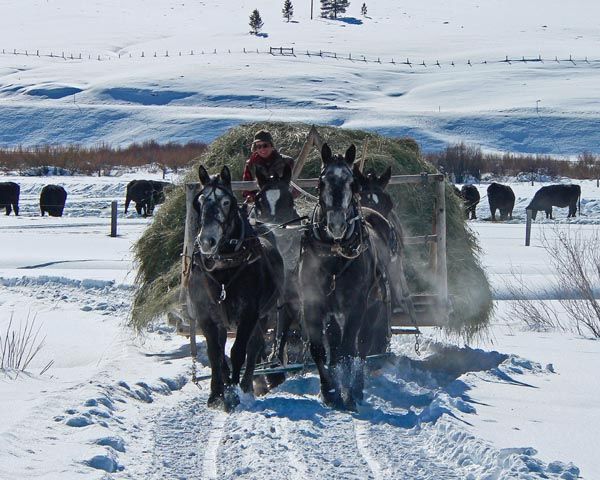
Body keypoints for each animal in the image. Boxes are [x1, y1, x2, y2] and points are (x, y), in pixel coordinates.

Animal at [185, 166, 284, 412]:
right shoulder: (206, 315)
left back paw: (248, 385)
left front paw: (233, 391)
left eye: (226, 202)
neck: (224, 268)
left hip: (264, 315)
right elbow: (215, 353)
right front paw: (216, 394)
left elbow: (239, 351)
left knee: (255, 346)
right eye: (199, 201)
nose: (207, 241)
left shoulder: (249, 313)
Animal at [300, 142, 380, 408]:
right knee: (335, 347)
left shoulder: (356, 306)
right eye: (320, 182)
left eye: (352, 183)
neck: (334, 256)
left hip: (372, 307)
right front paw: (329, 391)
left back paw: (356, 388)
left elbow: (348, 350)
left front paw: (346, 394)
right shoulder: (312, 304)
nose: (336, 225)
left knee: (361, 346)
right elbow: (319, 350)